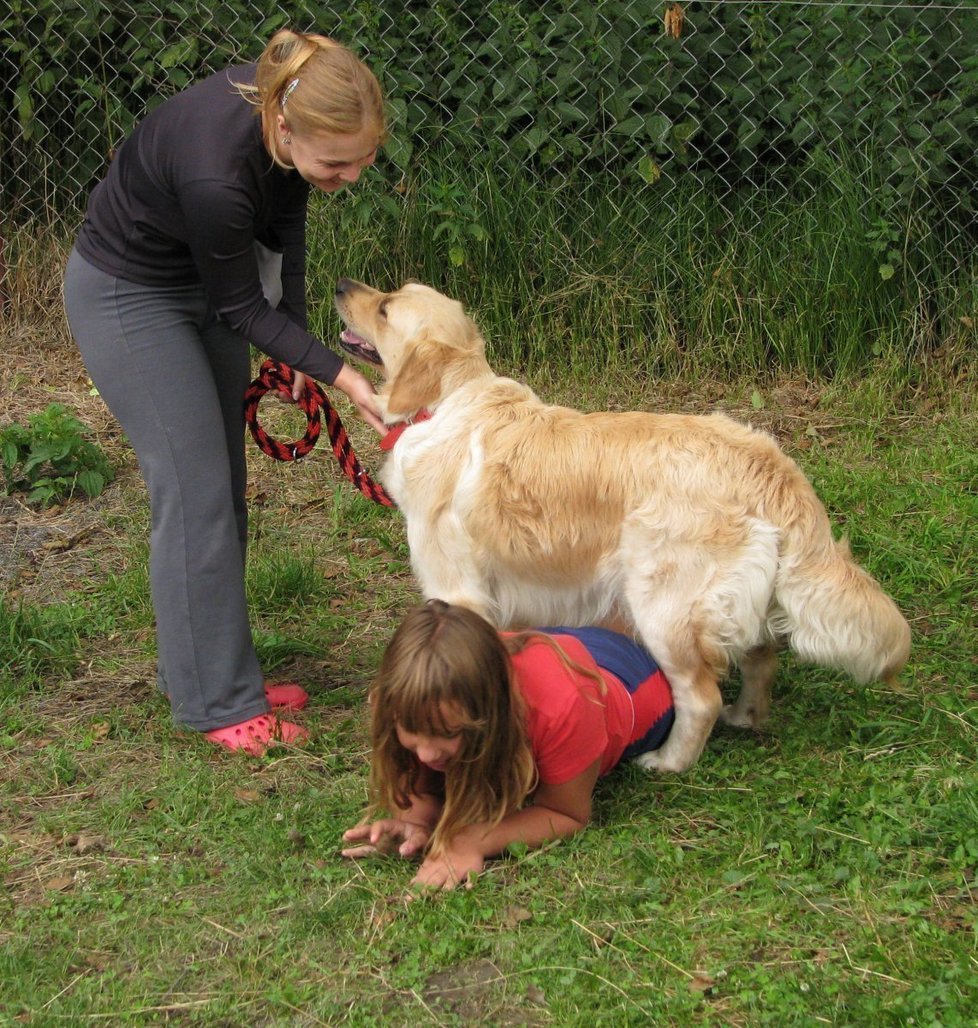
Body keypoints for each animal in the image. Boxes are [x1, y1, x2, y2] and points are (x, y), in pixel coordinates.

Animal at [335, 279, 909, 773]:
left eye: (385, 307)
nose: (341, 284)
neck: (443, 402)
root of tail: (769, 462)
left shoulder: (457, 591)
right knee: (761, 658)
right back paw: (745, 717)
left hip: (663, 607)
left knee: (700, 697)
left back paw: (668, 762)